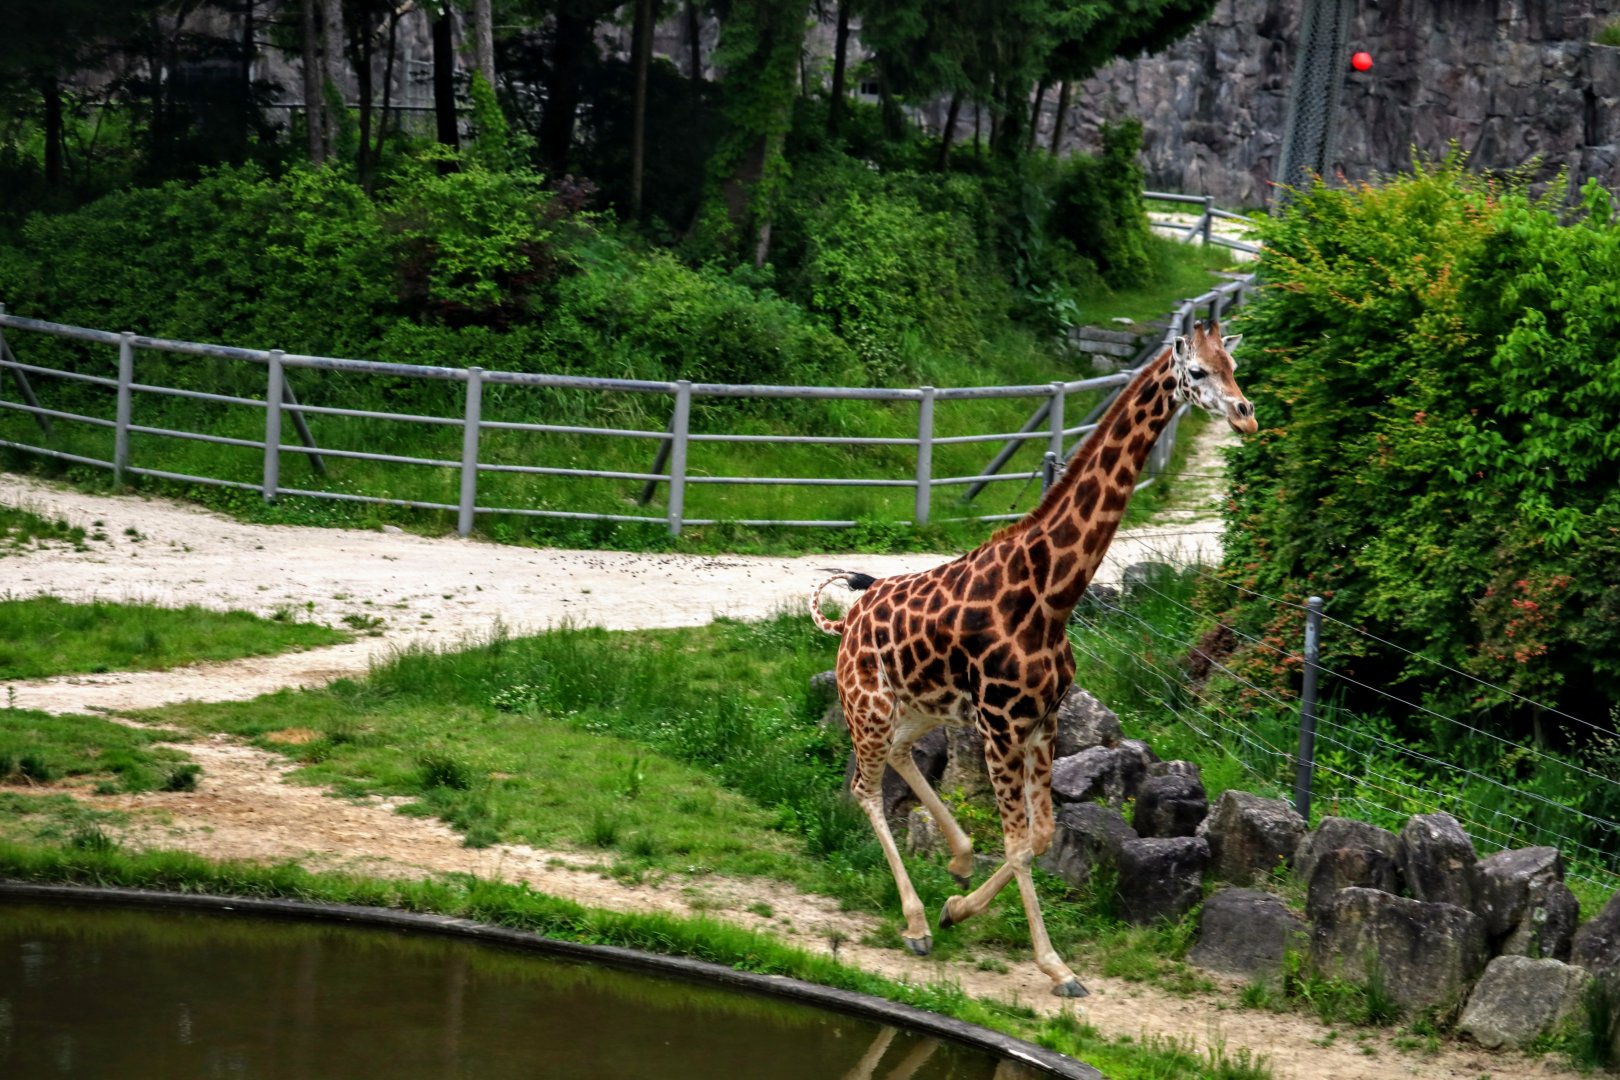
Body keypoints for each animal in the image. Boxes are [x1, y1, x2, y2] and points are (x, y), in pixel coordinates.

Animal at [810, 319, 1255, 997]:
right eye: (1198, 372)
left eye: (1233, 365)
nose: (1245, 414)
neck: (1050, 592)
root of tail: (846, 621)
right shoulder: (1001, 725)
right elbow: (1020, 843)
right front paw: (1053, 965)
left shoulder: (1042, 720)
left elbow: (1042, 837)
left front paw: (963, 905)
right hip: (871, 706)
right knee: (865, 789)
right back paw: (916, 922)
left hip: (920, 707)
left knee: (902, 757)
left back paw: (959, 861)